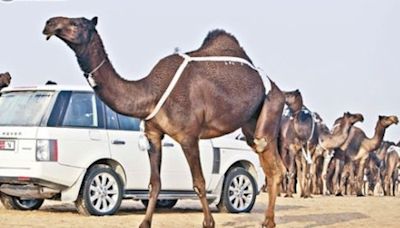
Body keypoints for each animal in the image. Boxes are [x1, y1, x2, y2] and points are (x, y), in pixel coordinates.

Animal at [43, 16, 284, 228]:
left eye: (76, 23)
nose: (49, 23)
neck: (150, 93)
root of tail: (276, 87)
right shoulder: (153, 134)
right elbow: (155, 183)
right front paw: (144, 222)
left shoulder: (189, 137)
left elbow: (199, 183)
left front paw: (208, 223)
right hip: (250, 123)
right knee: (271, 165)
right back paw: (267, 220)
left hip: (271, 106)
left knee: (271, 163)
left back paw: (269, 221)